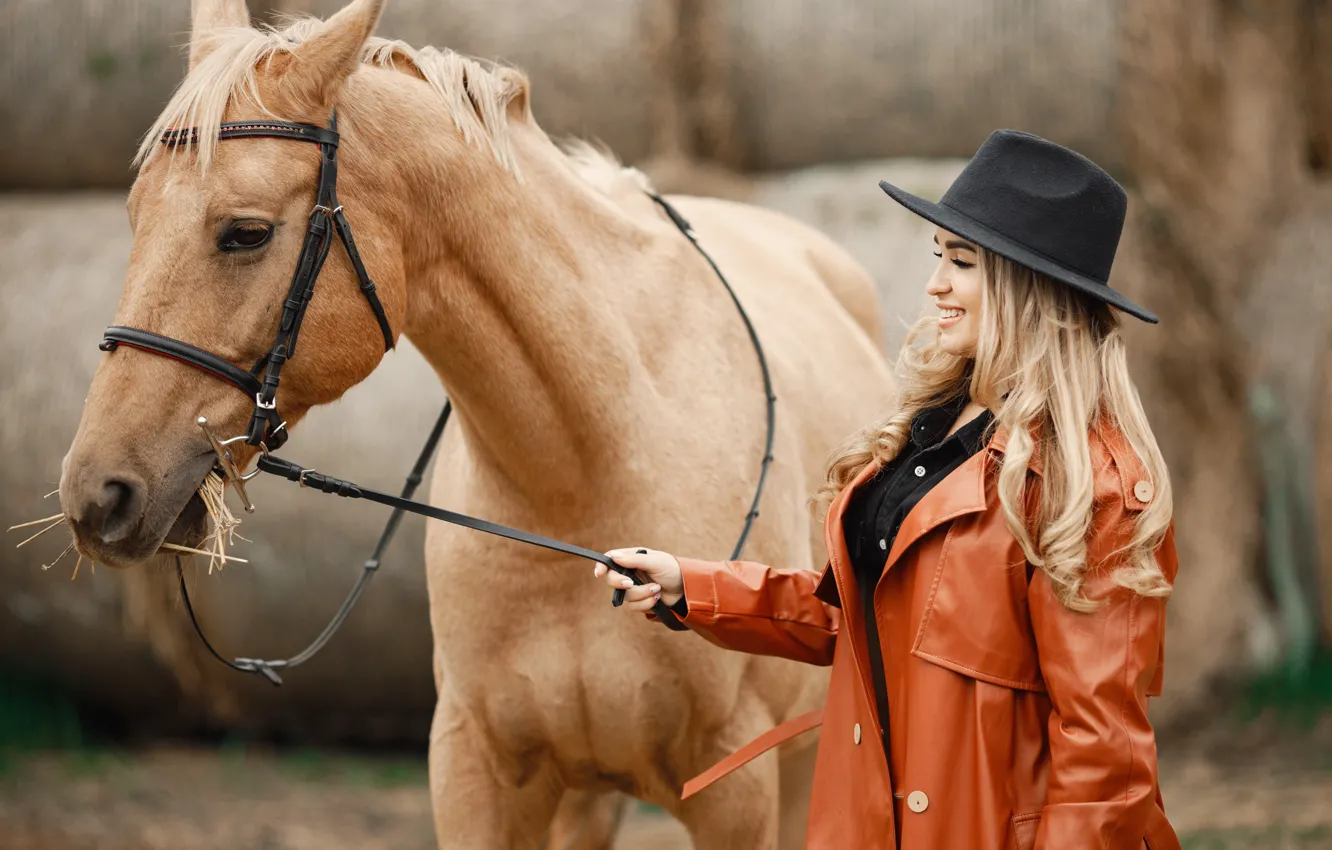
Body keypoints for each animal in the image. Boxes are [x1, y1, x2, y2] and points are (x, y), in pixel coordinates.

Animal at [57, 0, 896, 846]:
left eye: (246, 232)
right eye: (133, 216)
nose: (99, 494)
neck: (582, 474)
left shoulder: (737, 793)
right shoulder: (476, 776)